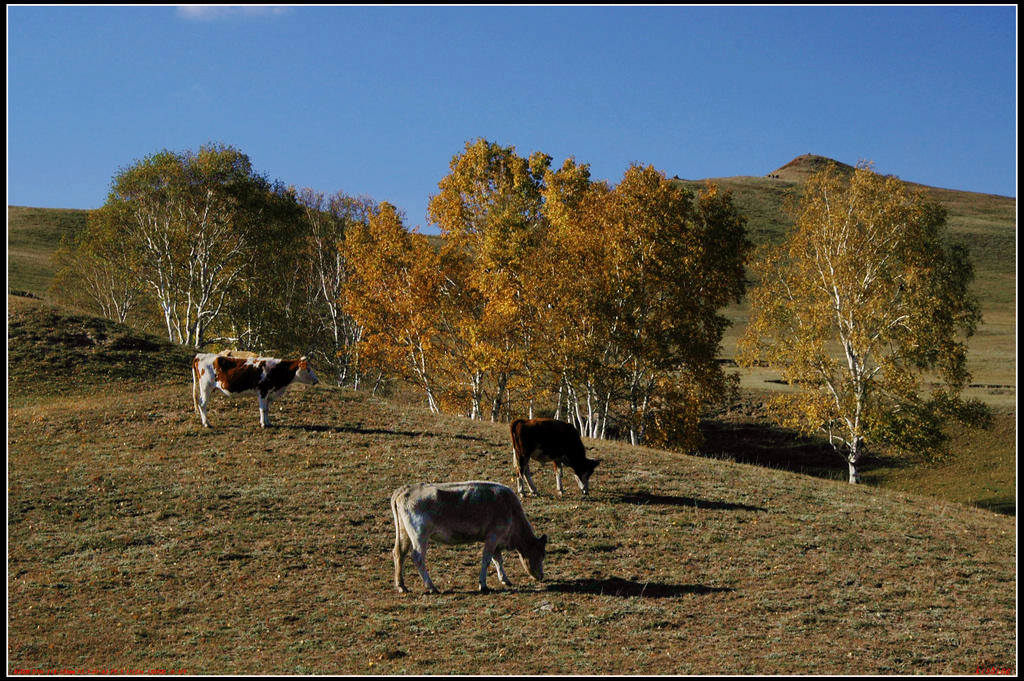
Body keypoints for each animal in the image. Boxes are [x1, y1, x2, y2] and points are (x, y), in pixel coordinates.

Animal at [391, 481, 548, 593]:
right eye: (540, 554)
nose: (541, 576)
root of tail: (405, 490)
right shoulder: (493, 536)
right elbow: (487, 559)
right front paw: (483, 585)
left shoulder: (496, 541)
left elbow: (497, 559)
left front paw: (505, 579)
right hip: (420, 535)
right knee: (417, 557)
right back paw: (431, 587)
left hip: (404, 533)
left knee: (399, 553)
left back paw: (401, 586)